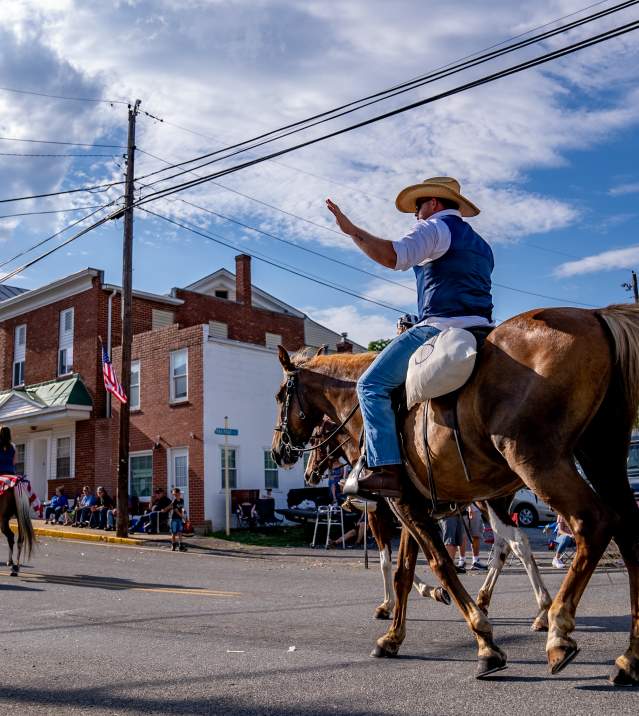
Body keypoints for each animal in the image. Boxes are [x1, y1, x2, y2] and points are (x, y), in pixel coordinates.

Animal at [272, 304, 639, 684]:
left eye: (281, 396)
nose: (281, 453)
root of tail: (594, 315)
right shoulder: (408, 505)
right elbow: (404, 571)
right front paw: (394, 635)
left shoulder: (387, 509)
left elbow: (431, 563)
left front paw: (484, 643)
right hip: (599, 458)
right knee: (620, 533)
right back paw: (626, 657)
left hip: (537, 463)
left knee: (583, 526)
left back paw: (556, 629)